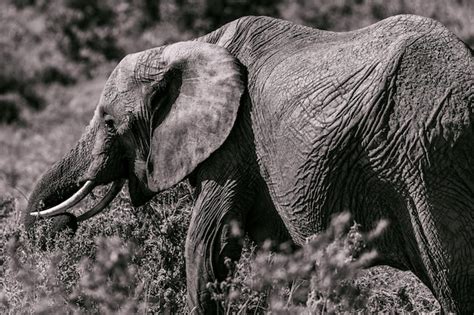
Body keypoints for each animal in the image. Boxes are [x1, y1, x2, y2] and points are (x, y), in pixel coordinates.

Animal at [25, 14, 474, 314]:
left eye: (108, 122)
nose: (63, 224)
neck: (190, 46)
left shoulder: (234, 144)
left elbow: (205, 243)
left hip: (428, 157)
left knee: (454, 279)